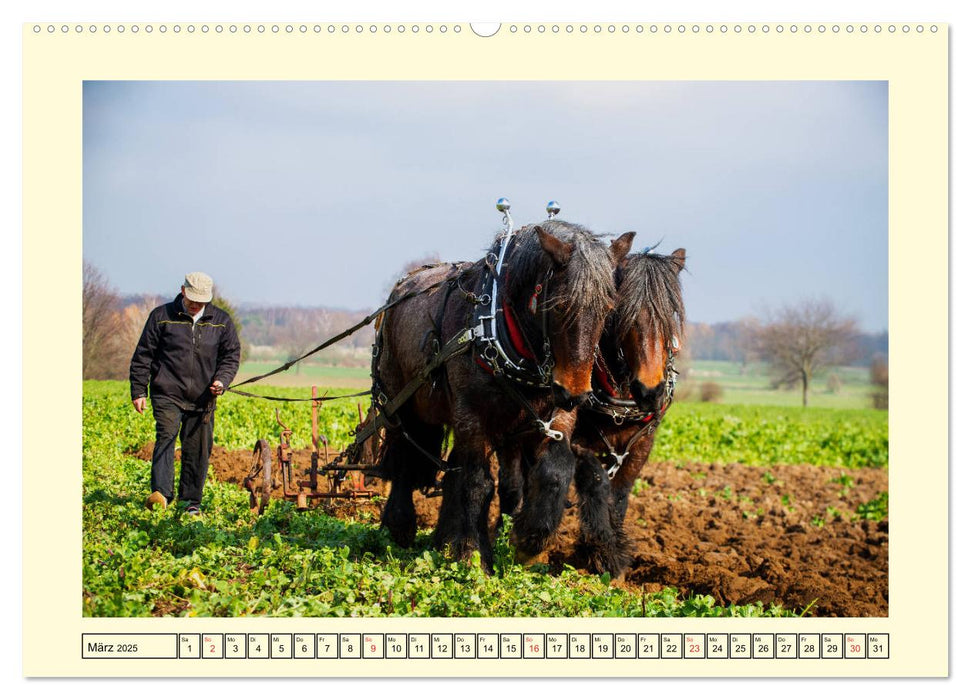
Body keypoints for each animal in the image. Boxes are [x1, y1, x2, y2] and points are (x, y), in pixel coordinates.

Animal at [370, 221, 632, 572]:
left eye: (607, 309)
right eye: (559, 305)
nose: (575, 393)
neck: (496, 326)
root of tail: (401, 289)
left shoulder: (554, 417)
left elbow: (555, 473)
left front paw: (529, 542)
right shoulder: (472, 416)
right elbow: (478, 484)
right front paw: (473, 554)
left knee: (451, 471)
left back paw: (443, 541)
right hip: (402, 403)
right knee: (403, 459)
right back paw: (399, 528)